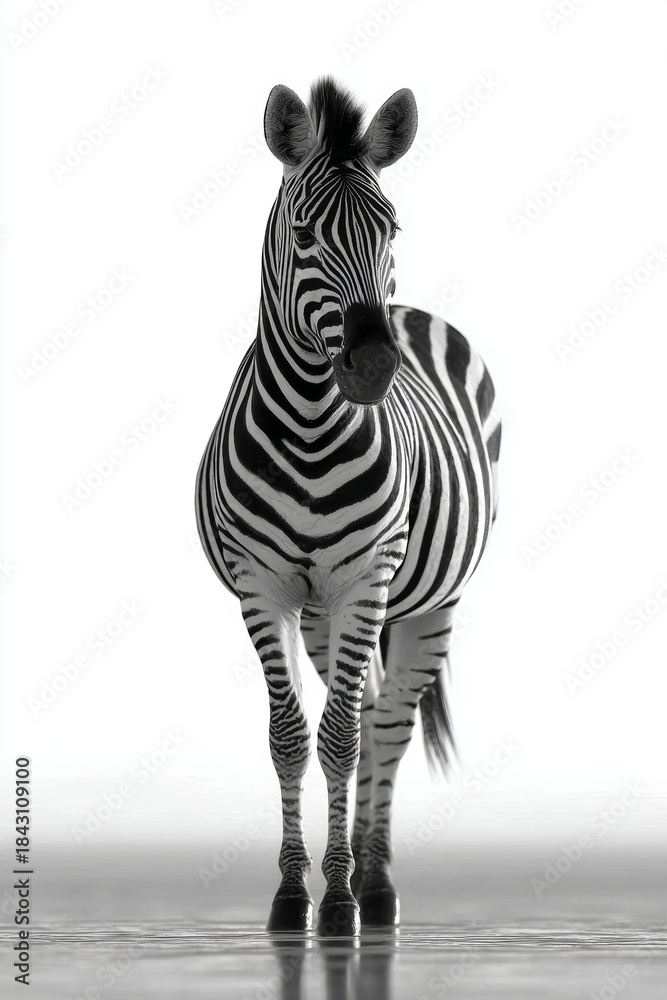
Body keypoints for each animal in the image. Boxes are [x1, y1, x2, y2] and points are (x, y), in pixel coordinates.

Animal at [195, 77, 501, 936]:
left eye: (390, 228)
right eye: (302, 232)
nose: (370, 367)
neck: (308, 426)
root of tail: (412, 313)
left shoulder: (369, 575)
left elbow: (341, 739)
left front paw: (335, 903)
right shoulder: (263, 585)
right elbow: (292, 736)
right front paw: (291, 895)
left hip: (426, 599)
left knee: (385, 726)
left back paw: (375, 884)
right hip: (323, 609)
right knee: (359, 712)